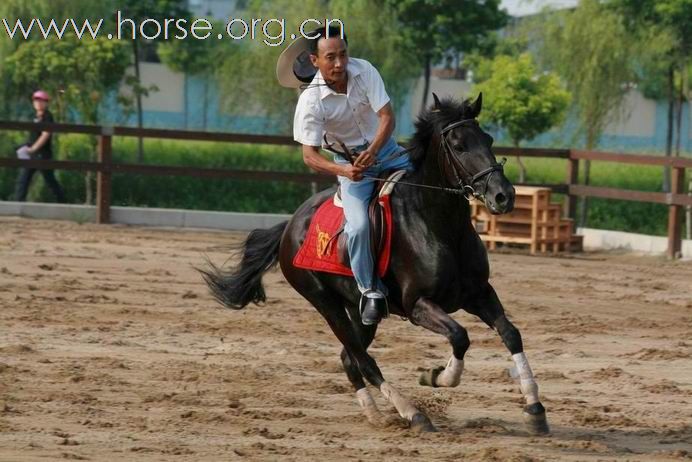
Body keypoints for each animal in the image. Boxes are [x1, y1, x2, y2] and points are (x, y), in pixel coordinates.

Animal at [201, 94, 552, 436]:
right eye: (458, 145)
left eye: (488, 139)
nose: (503, 196)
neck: (439, 225)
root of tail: (290, 225)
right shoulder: (418, 305)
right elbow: (459, 336)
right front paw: (435, 375)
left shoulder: (479, 294)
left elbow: (511, 333)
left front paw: (535, 410)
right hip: (325, 303)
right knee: (363, 360)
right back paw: (413, 414)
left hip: (361, 312)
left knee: (349, 358)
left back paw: (376, 415)